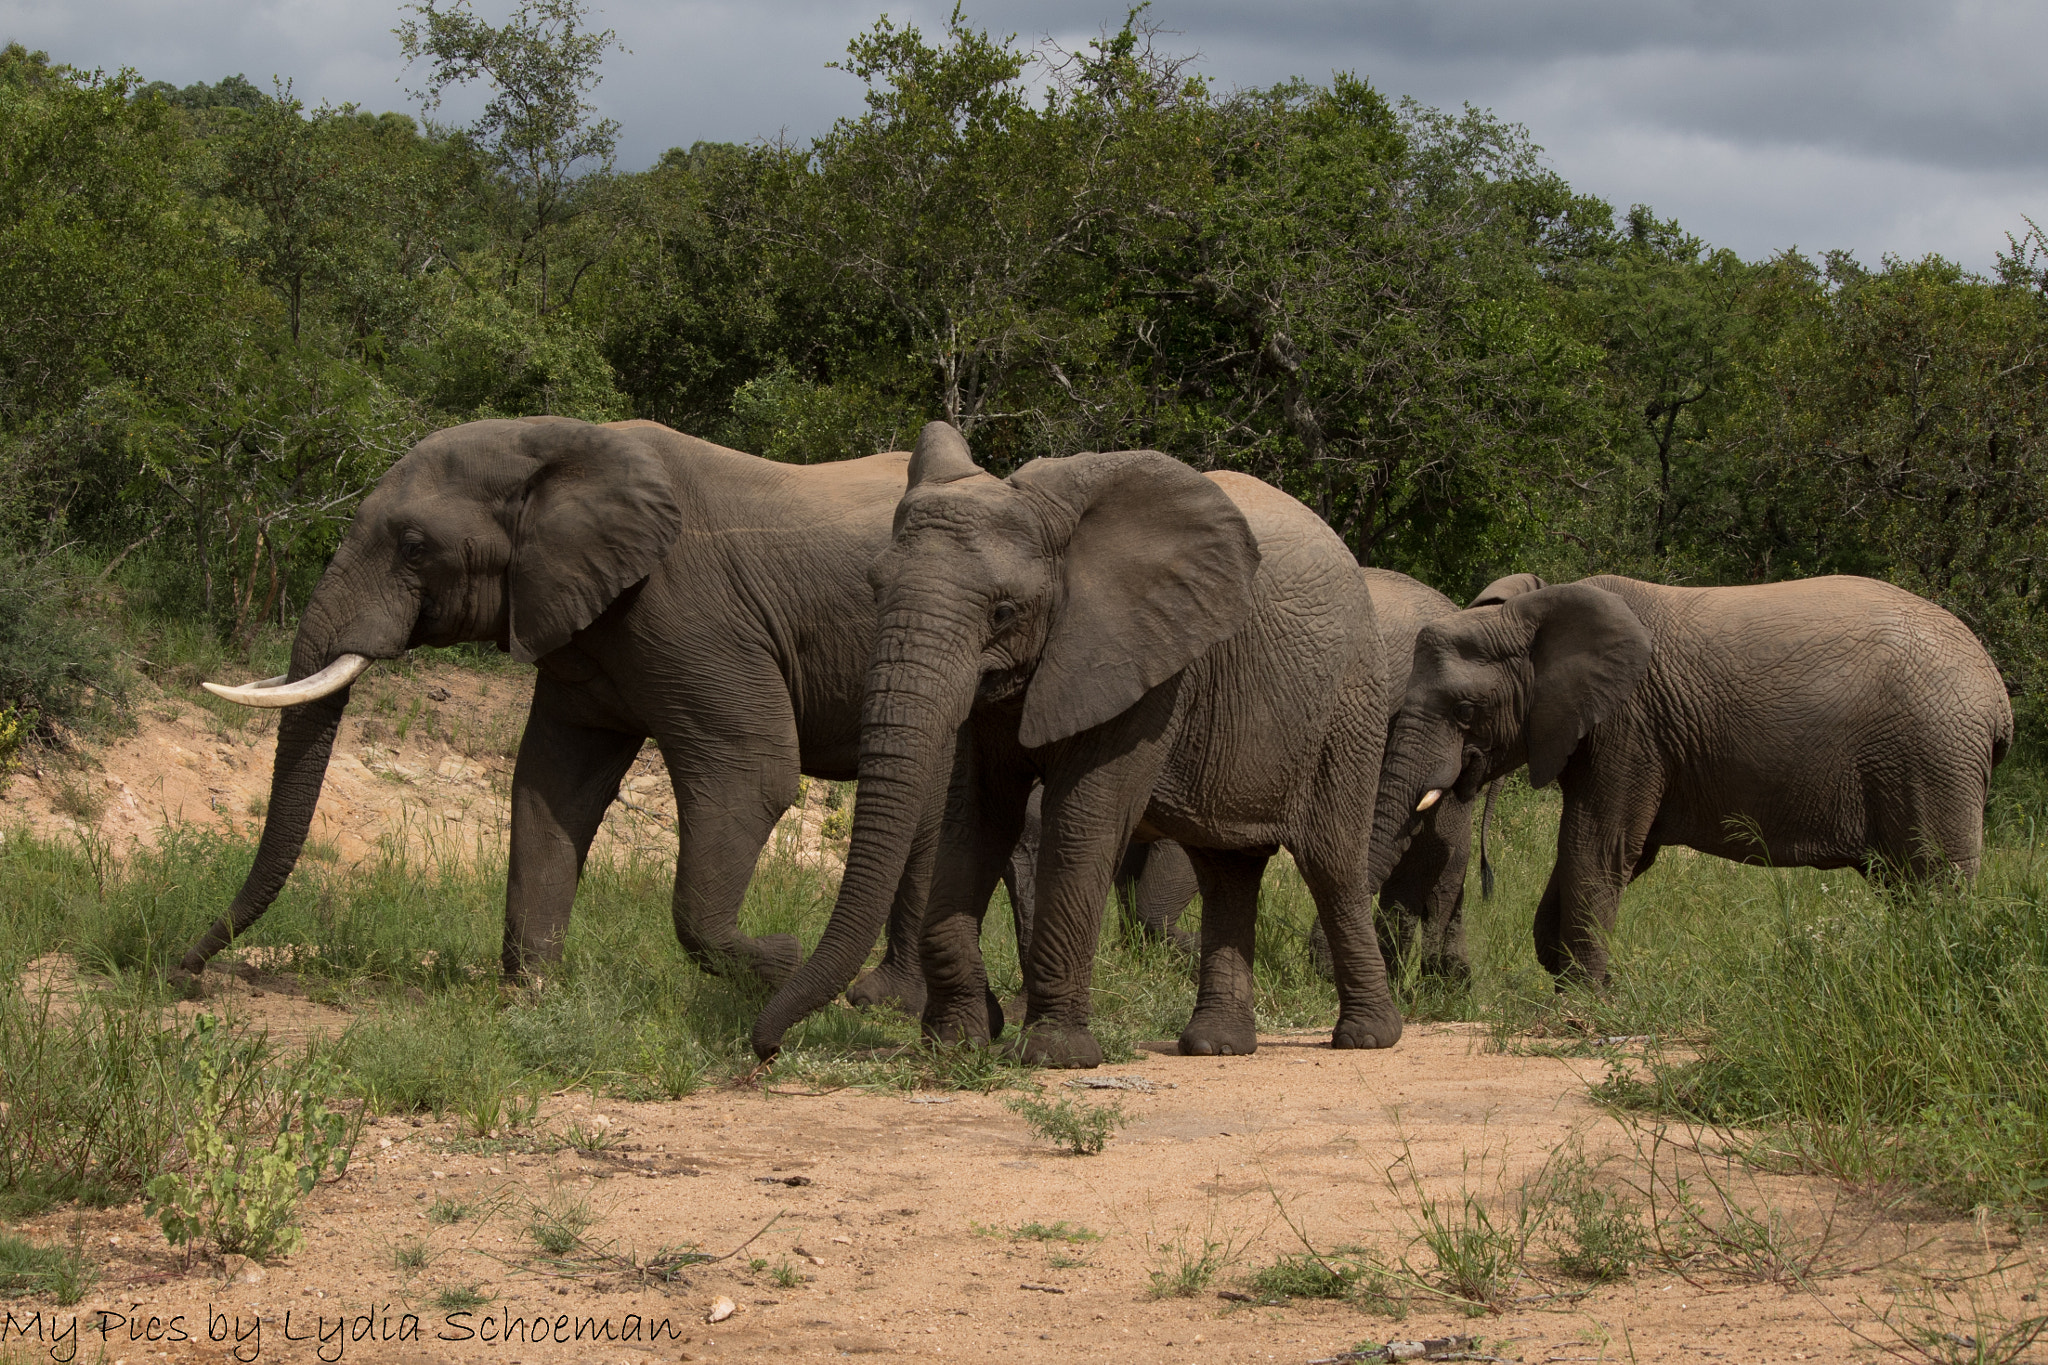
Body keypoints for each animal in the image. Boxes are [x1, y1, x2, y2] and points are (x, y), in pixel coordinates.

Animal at [184, 416, 942, 1002]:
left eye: (414, 547)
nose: (183, 972)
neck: (555, 446)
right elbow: (552, 784)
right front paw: (534, 993)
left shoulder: (694, 616)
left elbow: (753, 773)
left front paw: (781, 962)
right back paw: (893, 999)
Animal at [750, 421, 1405, 1066]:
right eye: (874, 589)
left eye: (1003, 611)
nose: (767, 1050)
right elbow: (974, 821)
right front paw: (957, 1041)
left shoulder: (1141, 664)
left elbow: (1080, 824)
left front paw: (1053, 1054)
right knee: (1226, 868)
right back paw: (1215, 1046)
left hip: (1351, 706)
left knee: (1330, 863)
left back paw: (1367, 1037)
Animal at [1381, 571, 2014, 986]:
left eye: (1465, 710)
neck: (1535, 611)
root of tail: (1997, 695)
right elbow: (1607, 852)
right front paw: (1564, 968)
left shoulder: (1632, 725)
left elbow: (1601, 846)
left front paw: (1580, 999)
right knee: (1908, 887)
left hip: (1935, 755)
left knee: (1935, 881)